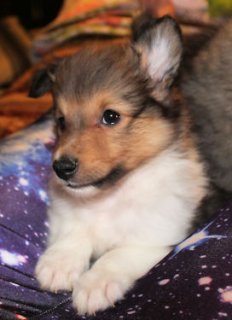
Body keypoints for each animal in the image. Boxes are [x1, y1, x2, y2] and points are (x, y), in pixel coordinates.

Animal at [29, 15, 207, 316]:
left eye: (110, 116)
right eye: (61, 121)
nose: (61, 168)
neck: (109, 197)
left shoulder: (155, 240)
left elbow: (117, 254)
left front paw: (93, 285)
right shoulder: (66, 215)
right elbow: (75, 230)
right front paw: (59, 264)